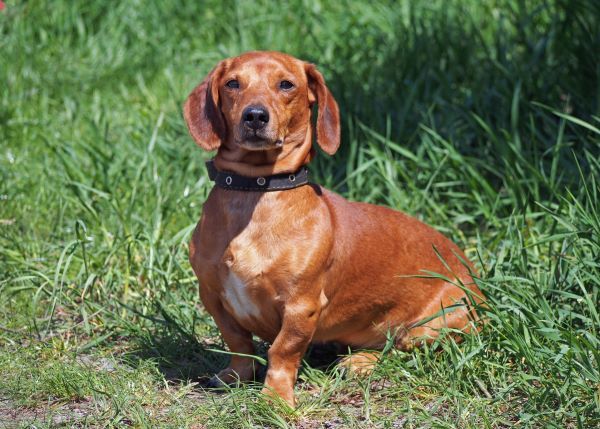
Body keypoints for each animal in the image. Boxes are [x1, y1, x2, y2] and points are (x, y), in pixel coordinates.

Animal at [183, 50, 482, 404]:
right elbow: (238, 342)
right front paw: (236, 376)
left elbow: (282, 351)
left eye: (286, 84)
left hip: (433, 325)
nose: (255, 116)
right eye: (232, 83)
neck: (254, 194)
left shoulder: (302, 306)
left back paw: (361, 362)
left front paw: (275, 398)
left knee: (403, 349)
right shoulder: (213, 296)